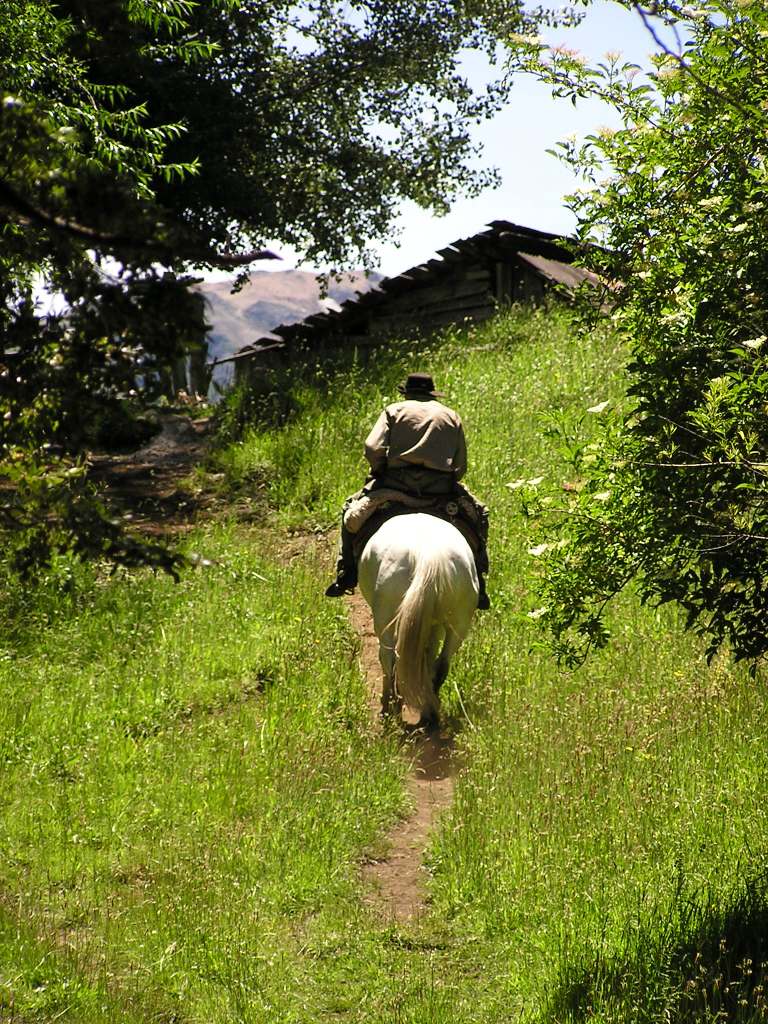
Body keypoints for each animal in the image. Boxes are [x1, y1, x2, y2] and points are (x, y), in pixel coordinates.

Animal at [358, 512, 479, 729]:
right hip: (460, 622)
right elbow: (428, 657)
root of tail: (427, 556)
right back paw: (430, 714)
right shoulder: (434, 624)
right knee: (441, 665)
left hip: (385, 618)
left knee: (390, 660)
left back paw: (392, 710)